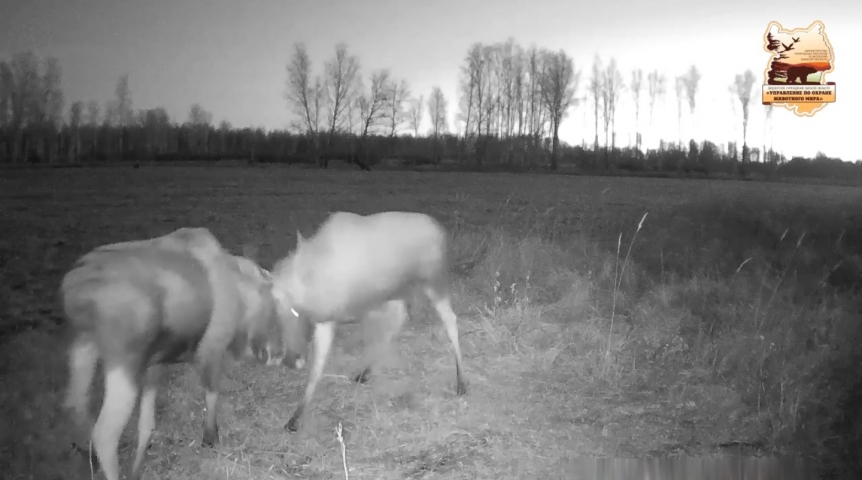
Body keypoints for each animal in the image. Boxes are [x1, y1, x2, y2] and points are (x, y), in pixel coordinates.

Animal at [272, 212, 470, 434]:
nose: (290, 360)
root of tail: (442, 233)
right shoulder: (330, 319)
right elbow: (316, 370)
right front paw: (295, 417)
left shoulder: (339, 315)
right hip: (399, 289)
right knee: (402, 315)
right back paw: (366, 371)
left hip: (433, 282)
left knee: (450, 319)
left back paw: (461, 381)